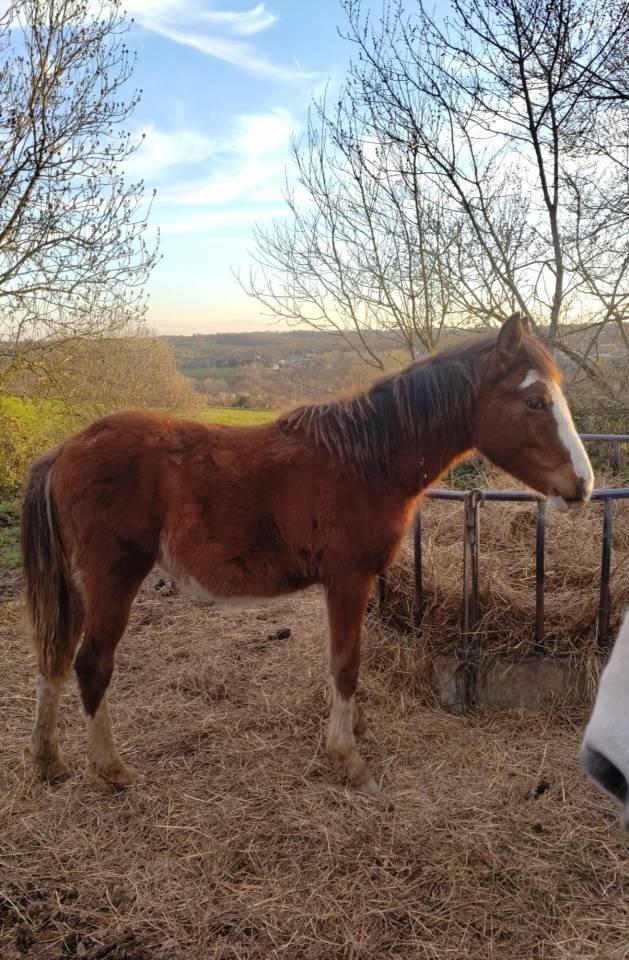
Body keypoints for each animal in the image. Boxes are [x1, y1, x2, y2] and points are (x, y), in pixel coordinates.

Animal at [21, 313, 593, 793]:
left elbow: (339, 663)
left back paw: (49, 761)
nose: (582, 486)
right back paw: (110, 768)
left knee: (55, 657)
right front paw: (348, 758)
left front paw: (353, 730)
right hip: (113, 580)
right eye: (535, 401)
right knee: (91, 664)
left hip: (78, 587)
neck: (367, 460)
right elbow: (346, 664)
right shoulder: (348, 580)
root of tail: (64, 451)